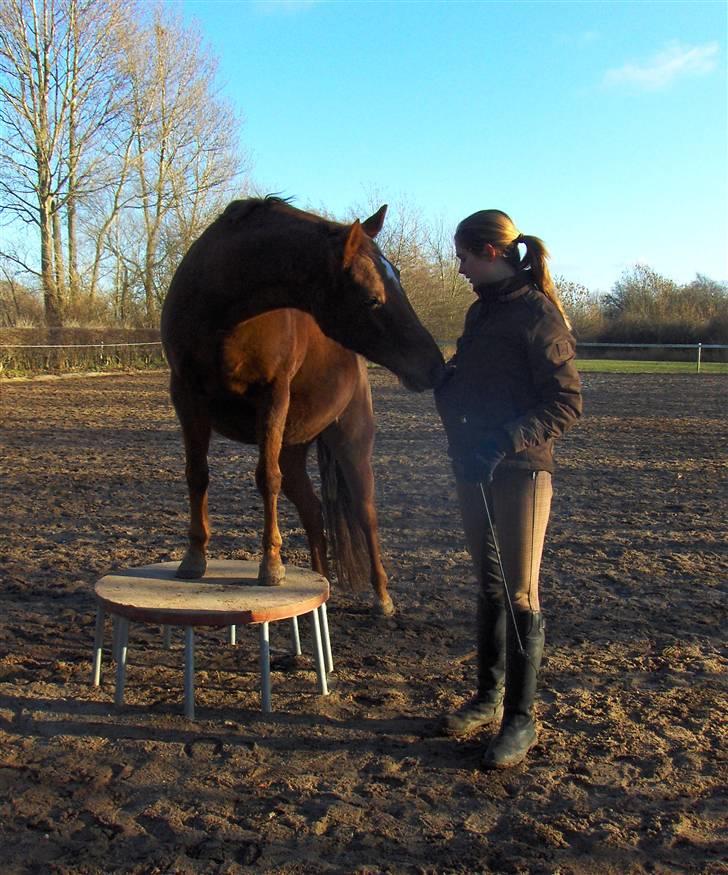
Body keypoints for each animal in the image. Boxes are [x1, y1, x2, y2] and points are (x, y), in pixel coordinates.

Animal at [160, 197, 444, 616]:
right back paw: (319, 582)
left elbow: (266, 479)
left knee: (366, 515)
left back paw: (382, 596)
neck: (222, 307)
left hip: (351, 447)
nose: (434, 366)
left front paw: (271, 567)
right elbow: (197, 475)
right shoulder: (185, 393)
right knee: (312, 509)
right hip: (292, 449)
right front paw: (194, 559)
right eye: (372, 299)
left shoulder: (273, 395)